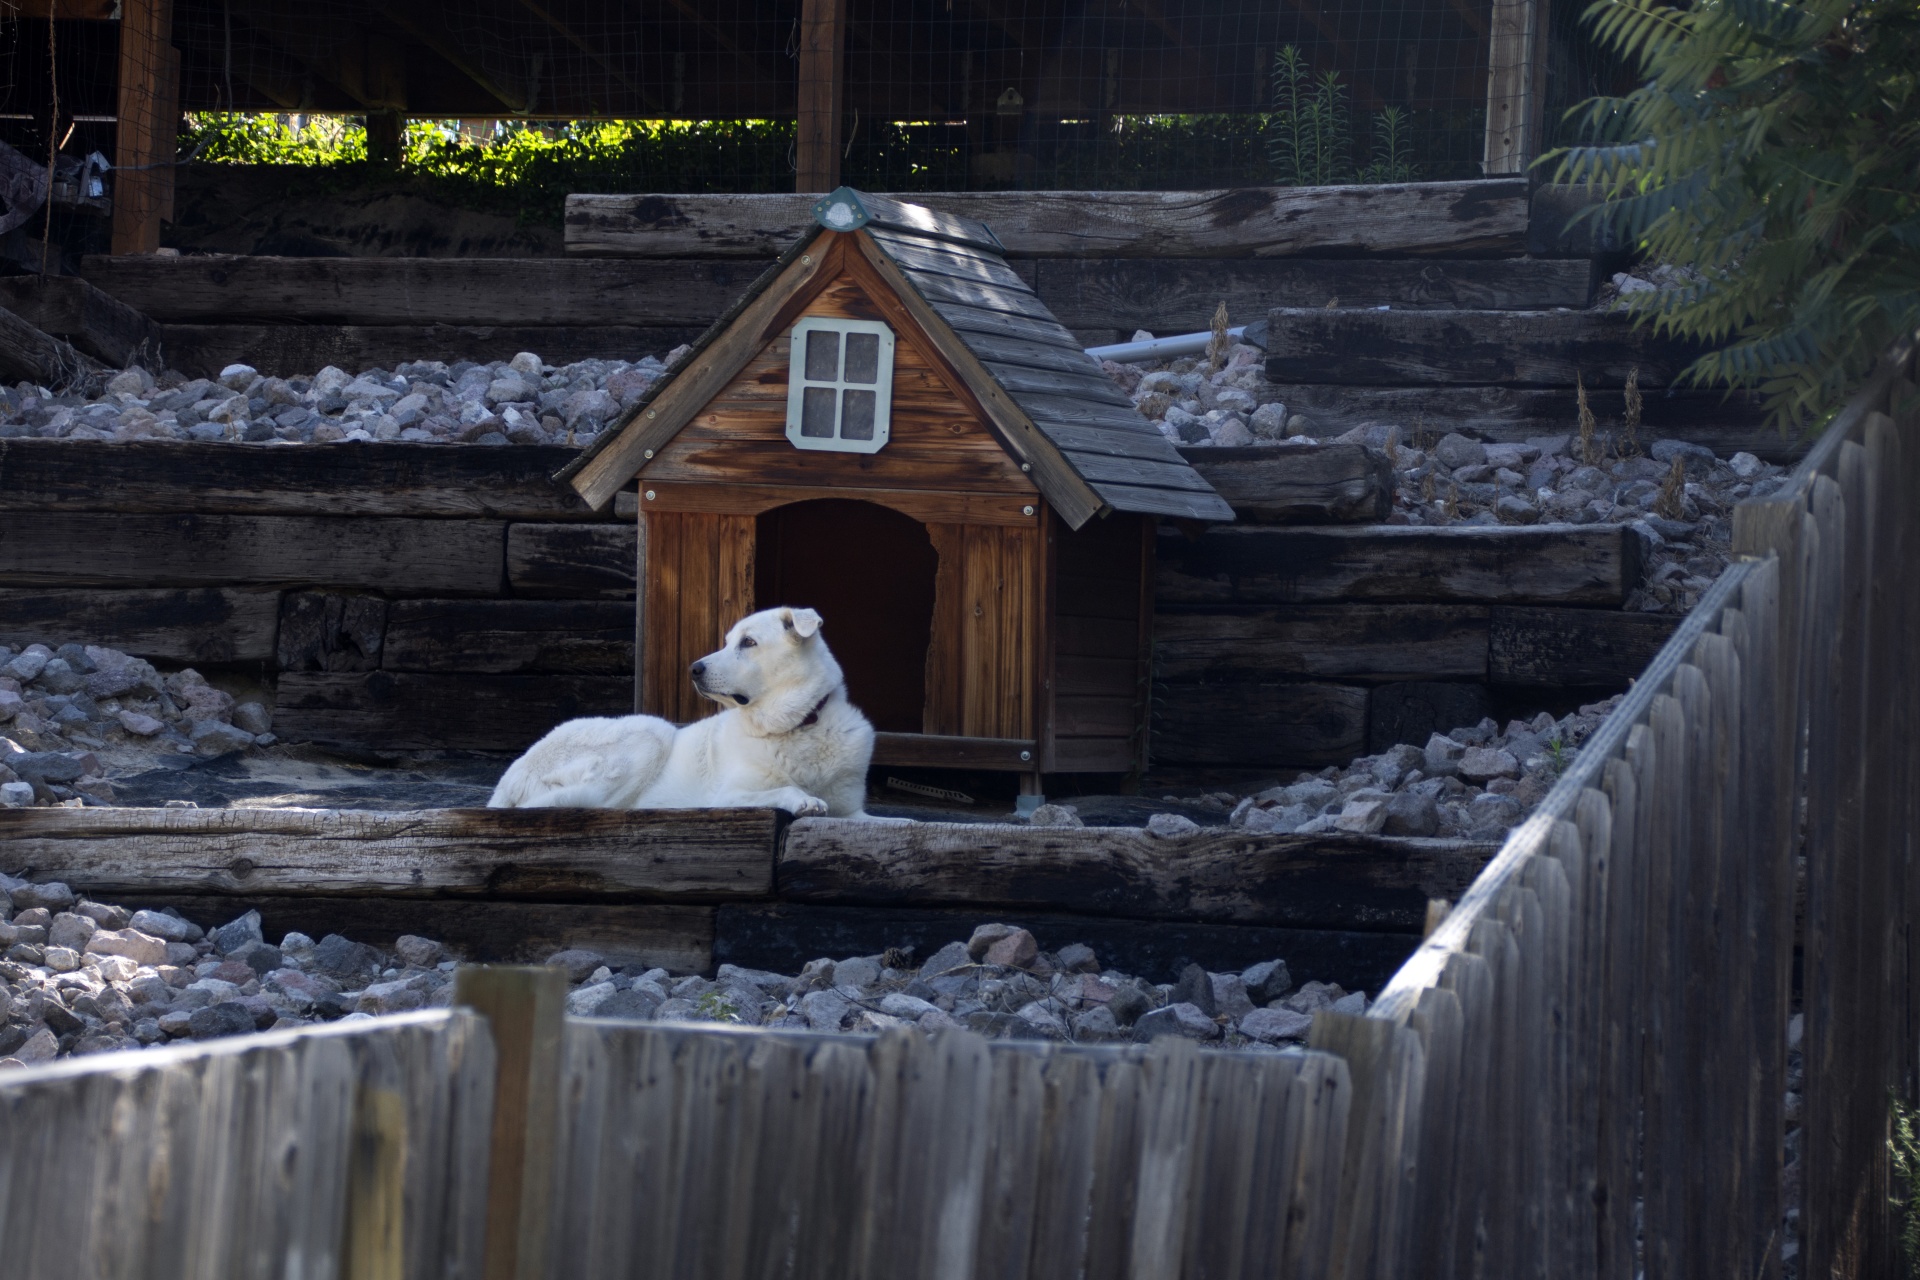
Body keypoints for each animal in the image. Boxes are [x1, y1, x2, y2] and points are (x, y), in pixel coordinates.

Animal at [483, 606, 875, 817]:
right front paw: (805, 800)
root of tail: (511, 775)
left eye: (748, 642)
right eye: (728, 641)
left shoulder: (854, 812)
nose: (694, 669)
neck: (799, 725)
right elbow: (786, 789)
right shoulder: (728, 797)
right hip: (651, 733)